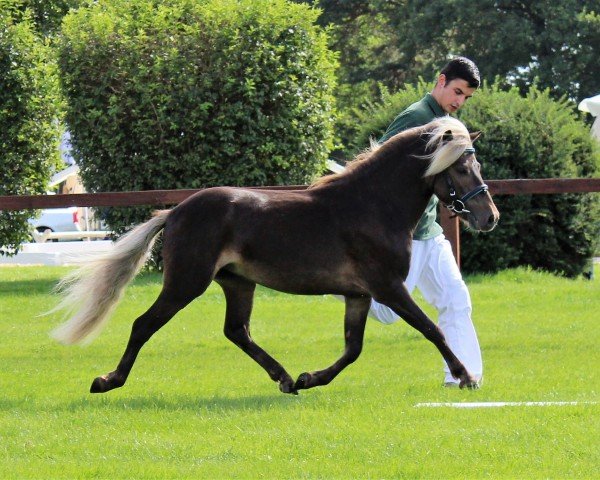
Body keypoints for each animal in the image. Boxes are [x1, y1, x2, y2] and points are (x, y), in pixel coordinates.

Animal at [51, 116, 500, 394]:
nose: (489, 217)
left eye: (475, 166)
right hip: (186, 282)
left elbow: (352, 348)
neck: (372, 206)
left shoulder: (359, 295)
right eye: (462, 169)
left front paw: (308, 378)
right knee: (144, 324)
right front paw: (466, 376)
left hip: (238, 283)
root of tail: (175, 211)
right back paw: (107, 380)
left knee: (237, 331)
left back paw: (284, 378)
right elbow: (431, 328)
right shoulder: (387, 287)